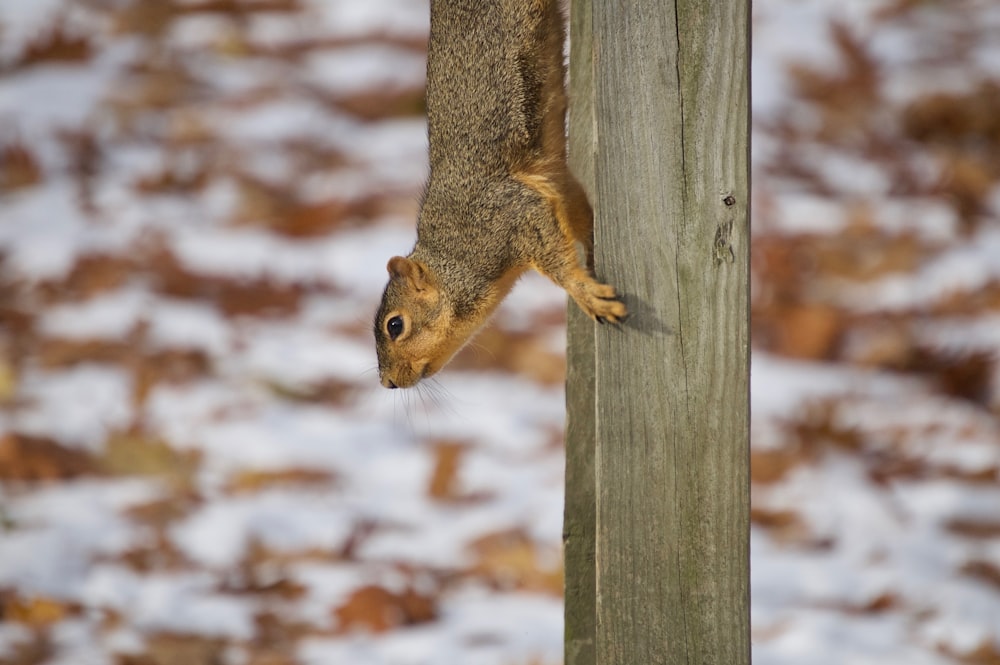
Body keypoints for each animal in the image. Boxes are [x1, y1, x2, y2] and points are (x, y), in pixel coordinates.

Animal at [376, 0, 624, 390]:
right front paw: (591, 253)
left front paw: (586, 294)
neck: (454, 252)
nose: (387, 382)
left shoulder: (509, 216)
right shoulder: (552, 184)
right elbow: (579, 211)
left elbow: (557, 261)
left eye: (395, 325)